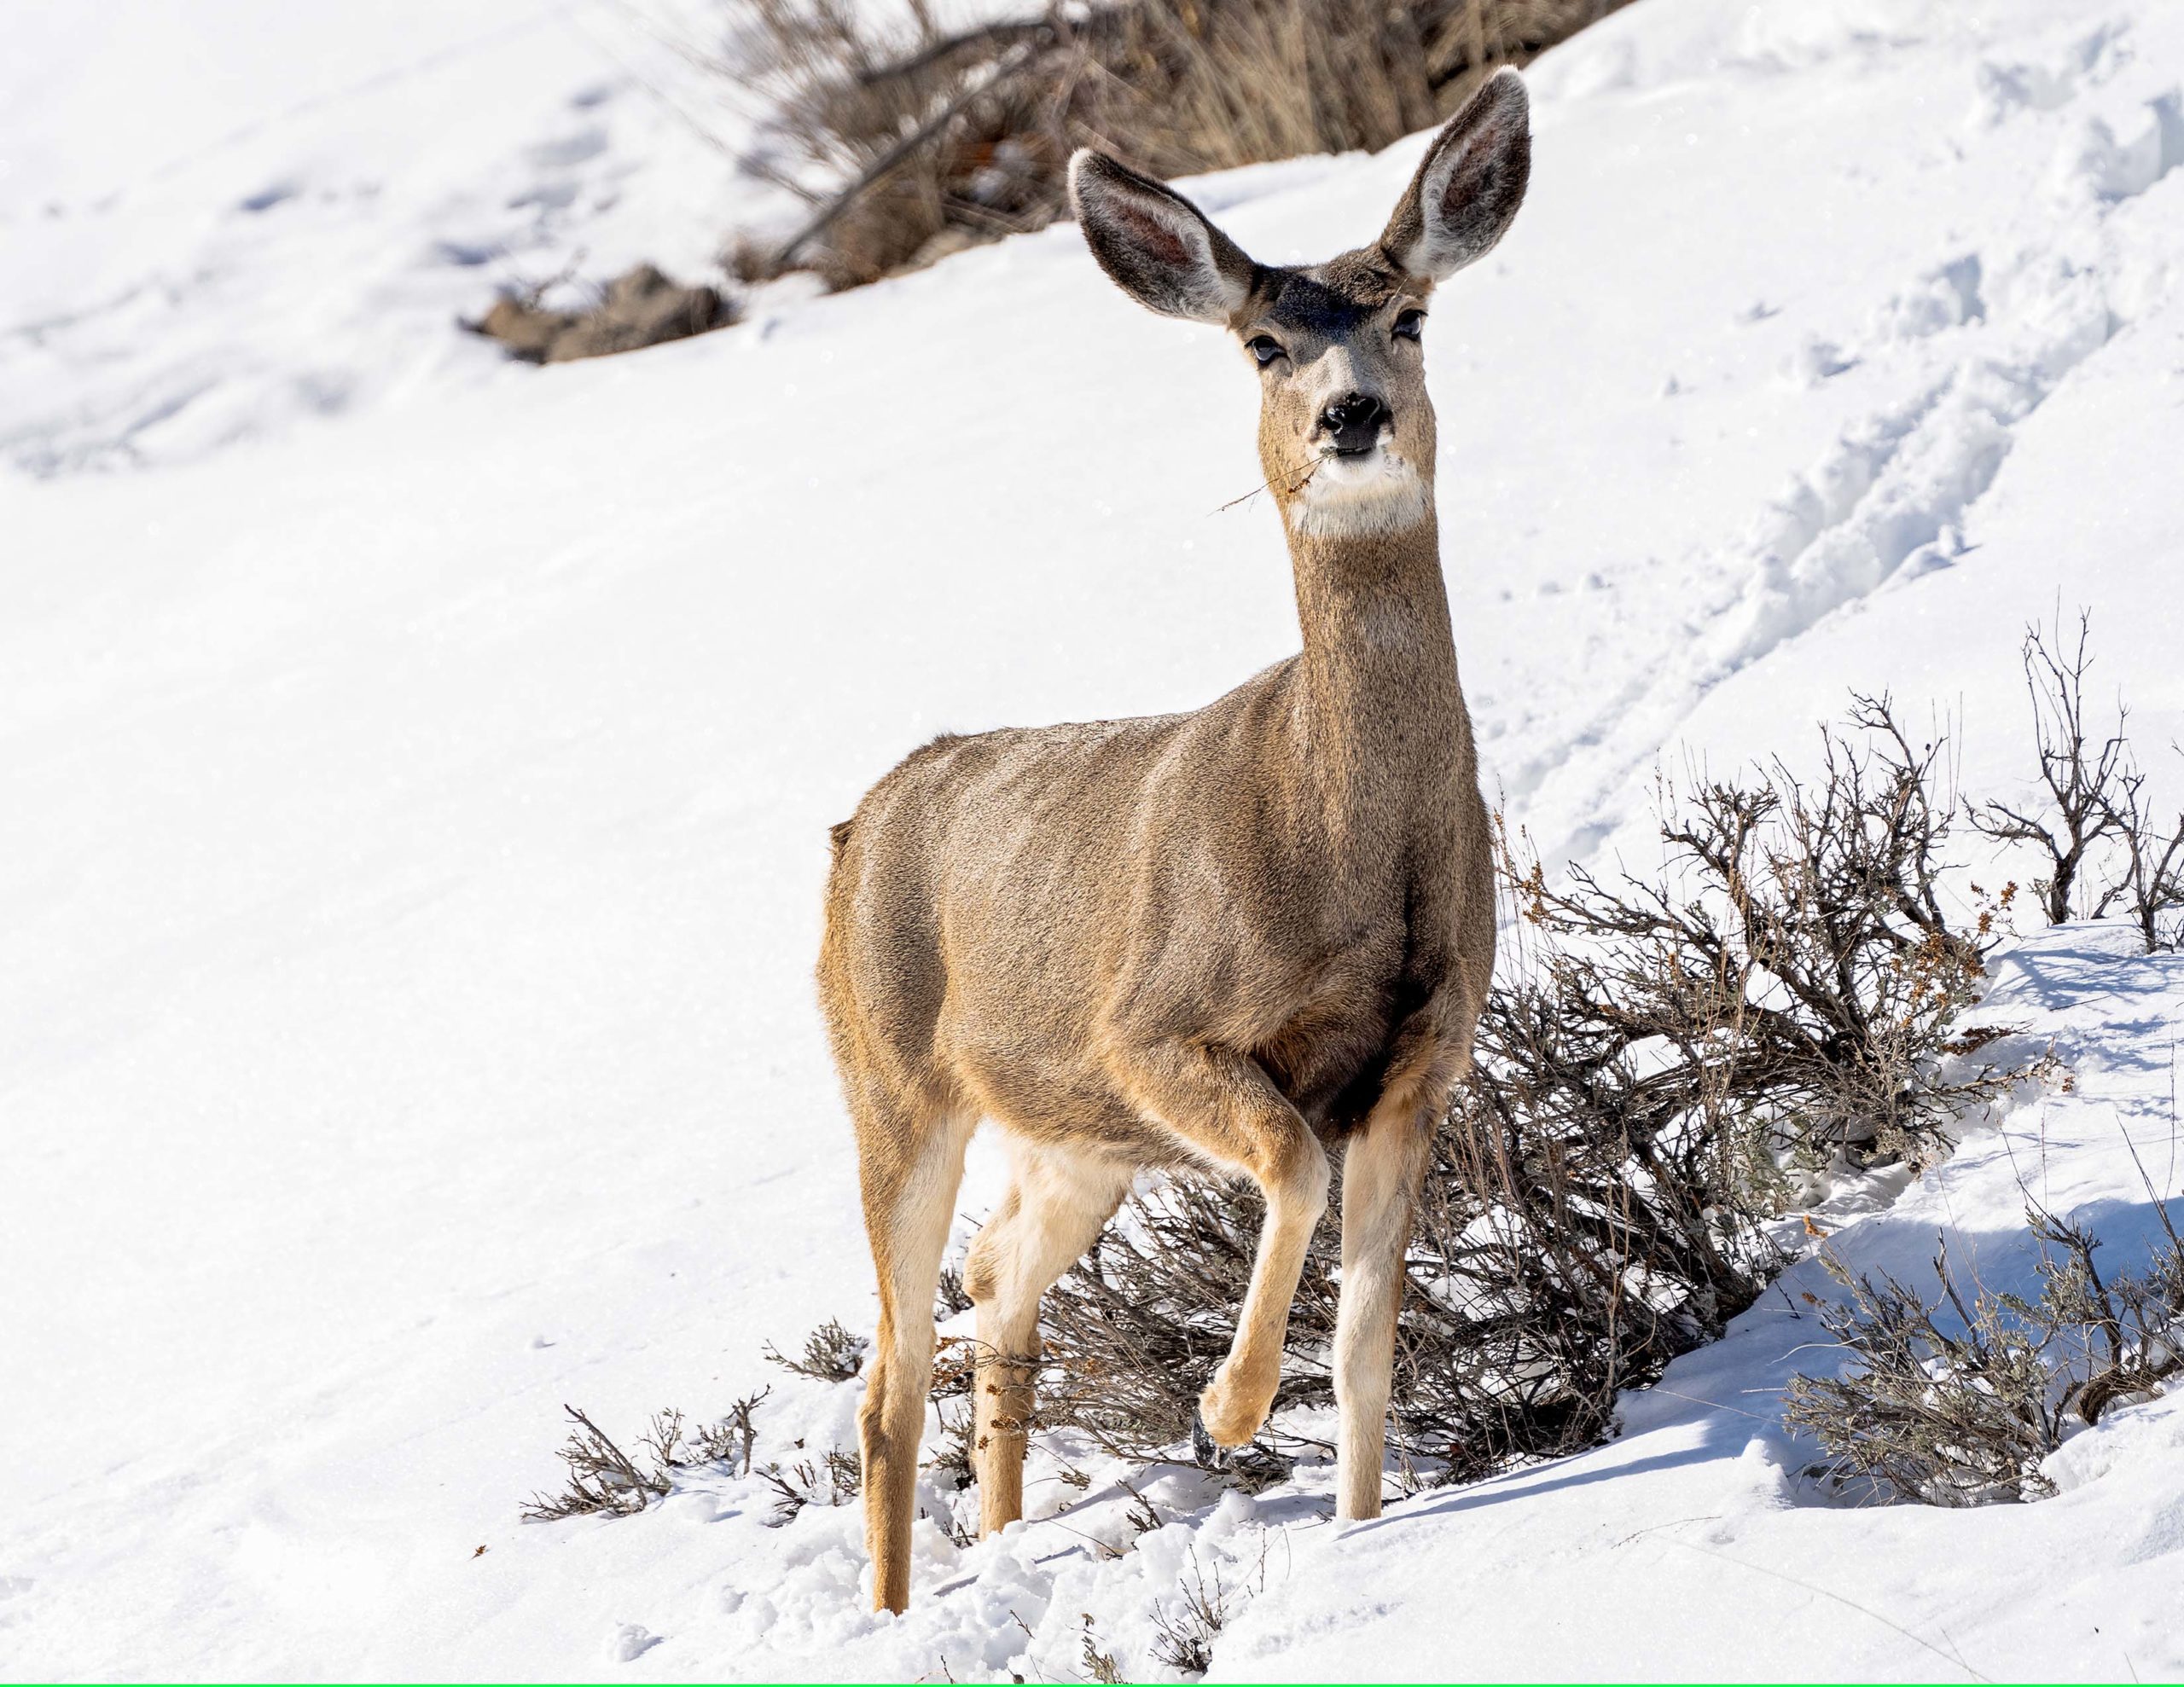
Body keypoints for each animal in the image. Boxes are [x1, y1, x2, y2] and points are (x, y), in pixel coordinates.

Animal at [812, 72, 1529, 1615]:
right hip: (896, 1077)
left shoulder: (1423, 1057)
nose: (1352, 415)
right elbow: (1295, 1173)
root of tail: (857, 822)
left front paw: (1362, 1533)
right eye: (1263, 343)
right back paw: (898, 1607)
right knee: (890, 1373)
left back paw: (1005, 1538)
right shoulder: (1152, 1029)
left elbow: (1371, 1339)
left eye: (1409, 313)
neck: (1345, 840)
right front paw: (1229, 1407)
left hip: (1068, 1133)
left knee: (998, 1280)